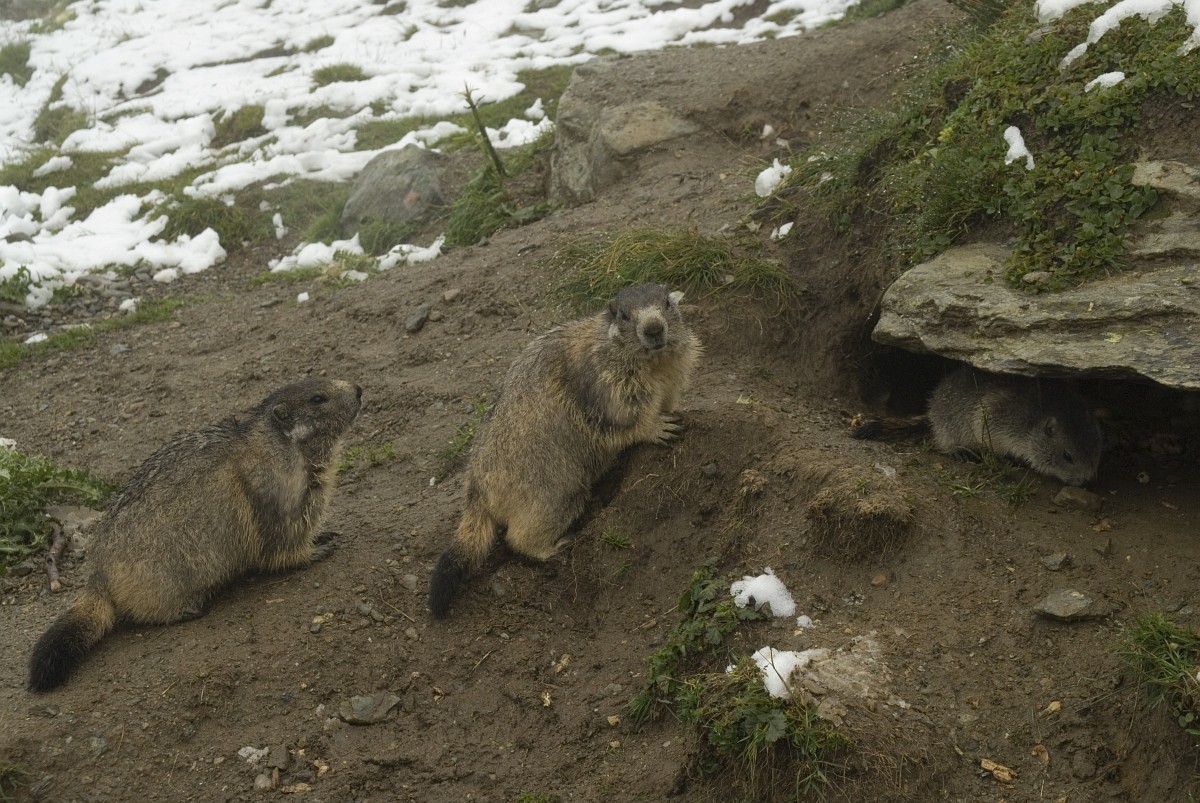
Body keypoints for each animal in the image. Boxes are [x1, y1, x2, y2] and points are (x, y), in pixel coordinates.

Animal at [27, 378, 362, 692]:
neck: (282, 446)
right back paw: (187, 609)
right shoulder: (277, 490)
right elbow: (281, 540)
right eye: (318, 398)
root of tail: (97, 578)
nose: (358, 389)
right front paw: (316, 548)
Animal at [428, 283, 702, 617]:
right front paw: (657, 426)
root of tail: (475, 492)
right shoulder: (608, 380)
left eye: (666, 304)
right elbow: (625, 415)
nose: (653, 328)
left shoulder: (675, 372)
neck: (655, 363)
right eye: (624, 315)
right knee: (519, 535)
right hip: (556, 491)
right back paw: (550, 548)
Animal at [852, 365, 1102, 485]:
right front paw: (1009, 459)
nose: (1088, 480)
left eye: (1097, 451)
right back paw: (960, 451)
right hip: (947, 424)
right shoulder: (999, 417)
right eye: (1068, 456)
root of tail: (931, 411)